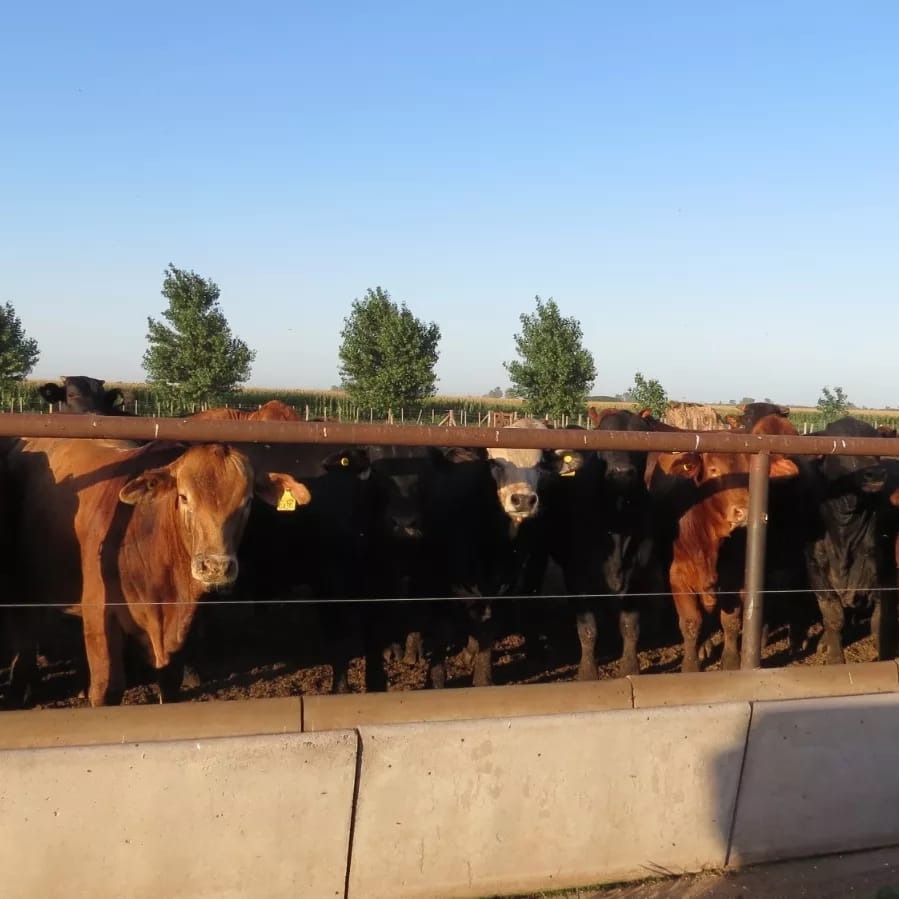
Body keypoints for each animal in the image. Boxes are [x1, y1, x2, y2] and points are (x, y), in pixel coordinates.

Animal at [7, 440, 312, 708]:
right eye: (184, 497)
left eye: (247, 501)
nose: (215, 567)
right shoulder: (99, 613)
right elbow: (107, 689)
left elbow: (169, 687)